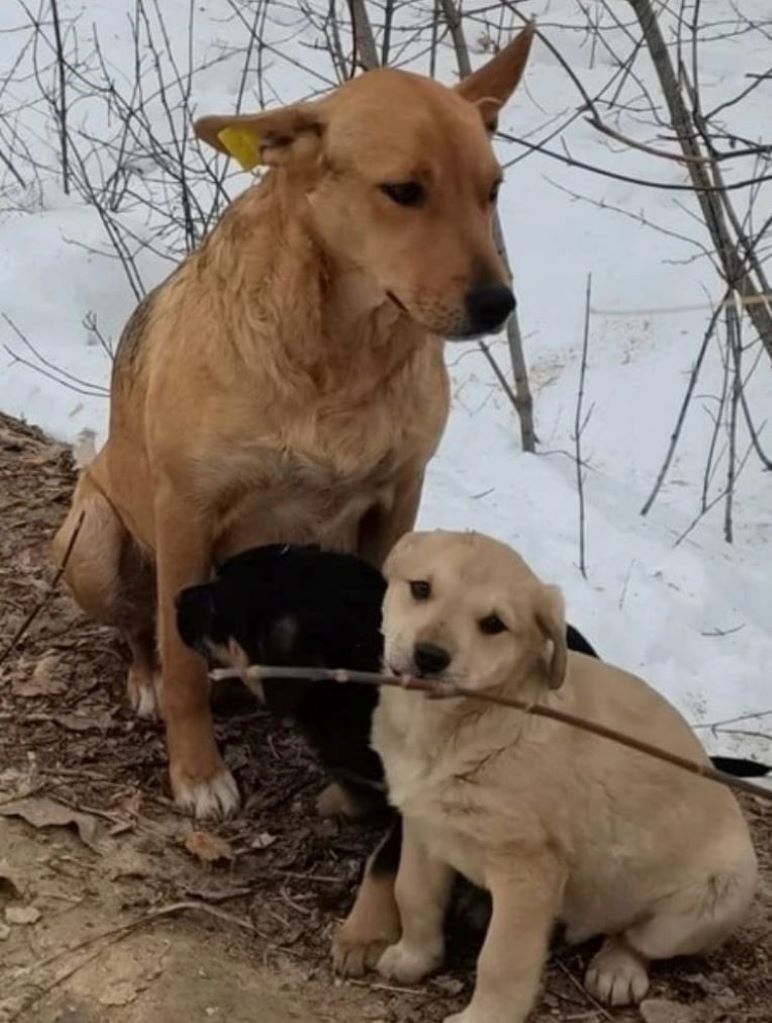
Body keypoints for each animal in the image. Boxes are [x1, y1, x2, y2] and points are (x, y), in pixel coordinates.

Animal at [51, 28, 535, 818]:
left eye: (491, 190)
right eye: (405, 192)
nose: (498, 304)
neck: (341, 351)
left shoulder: (398, 498)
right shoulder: (186, 511)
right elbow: (183, 664)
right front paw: (197, 771)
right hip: (90, 544)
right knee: (139, 630)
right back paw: (148, 678)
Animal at [372, 531, 756, 1018]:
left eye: (493, 624)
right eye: (420, 588)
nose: (429, 657)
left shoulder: (529, 871)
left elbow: (502, 960)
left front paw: (484, 1017)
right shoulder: (424, 828)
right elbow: (414, 894)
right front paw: (413, 956)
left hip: (718, 894)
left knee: (635, 938)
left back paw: (616, 970)